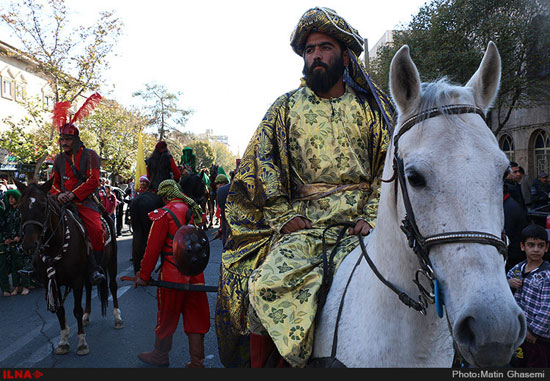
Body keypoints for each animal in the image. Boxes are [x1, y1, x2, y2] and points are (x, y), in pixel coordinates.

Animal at [15, 179, 122, 356]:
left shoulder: (76, 280)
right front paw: (63, 341)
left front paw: (82, 342)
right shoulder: (51, 282)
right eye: (20, 208)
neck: (56, 245)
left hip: (112, 261)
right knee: (89, 287)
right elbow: (60, 311)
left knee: (113, 287)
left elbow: (76, 310)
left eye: (43, 206)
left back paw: (117, 318)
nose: (29, 245)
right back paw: (87, 316)